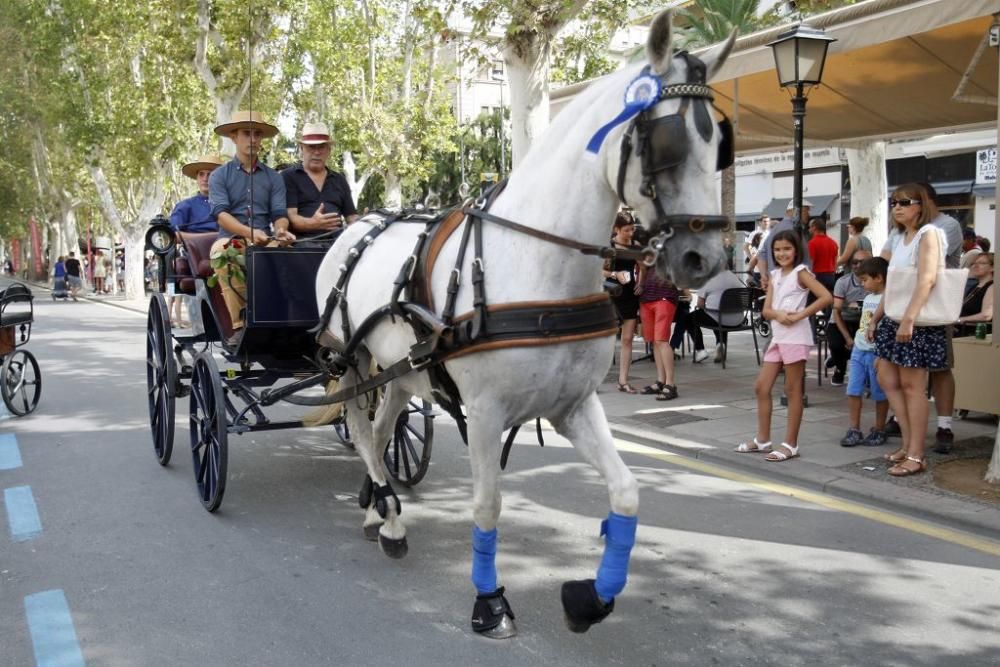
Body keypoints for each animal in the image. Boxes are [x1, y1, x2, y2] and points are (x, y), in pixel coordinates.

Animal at [316, 10, 740, 636]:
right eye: (667, 141)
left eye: (720, 145)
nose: (703, 258)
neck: (538, 264)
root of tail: (356, 226)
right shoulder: (486, 412)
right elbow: (488, 505)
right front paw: (489, 600)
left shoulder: (574, 406)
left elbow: (627, 492)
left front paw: (591, 598)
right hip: (351, 360)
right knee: (362, 427)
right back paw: (387, 512)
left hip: (400, 368)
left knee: (386, 423)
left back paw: (381, 510)